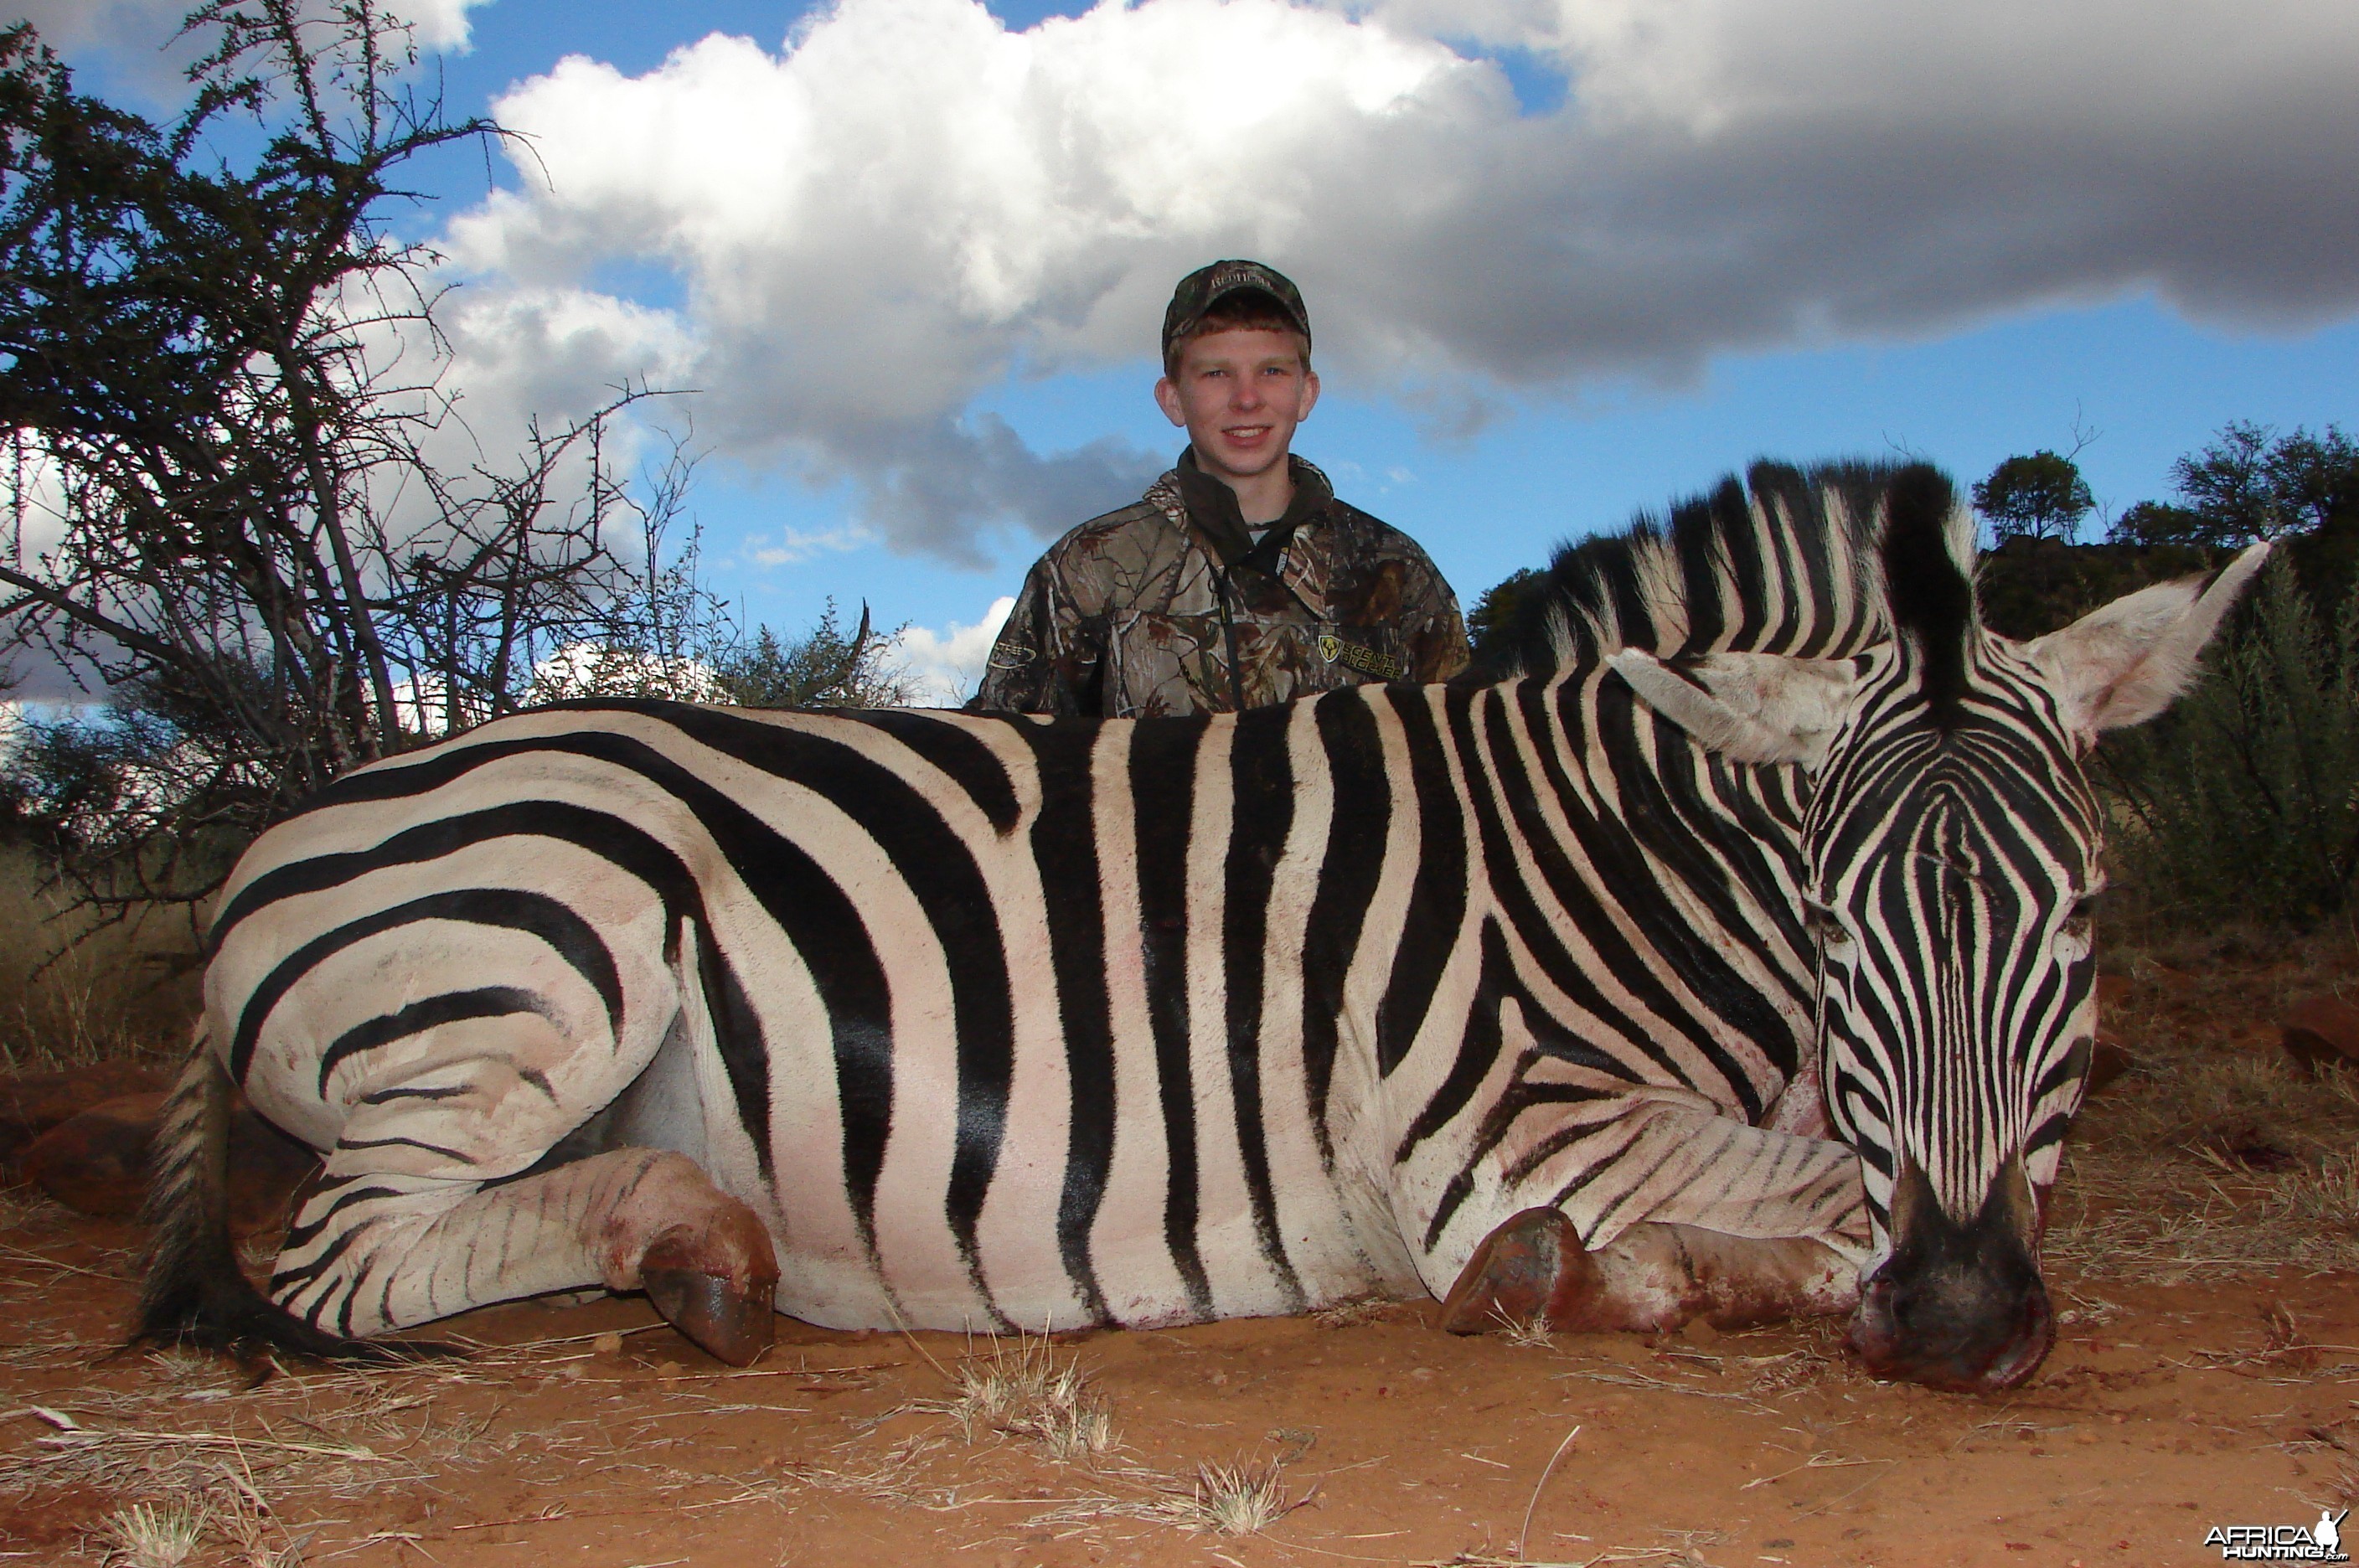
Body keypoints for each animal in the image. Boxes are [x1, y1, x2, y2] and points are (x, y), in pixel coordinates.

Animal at [137, 459, 2255, 1386]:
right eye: (1836, 923)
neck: (1602, 850)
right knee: (336, 1262)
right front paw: (1594, 1280)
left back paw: (689, 1249)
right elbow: (1805, 1209)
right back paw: (703, 1248)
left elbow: (1916, 1178)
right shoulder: (1506, 1126)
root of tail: (279, 829)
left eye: (2081, 915)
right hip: (551, 940)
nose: (1963, 1330)